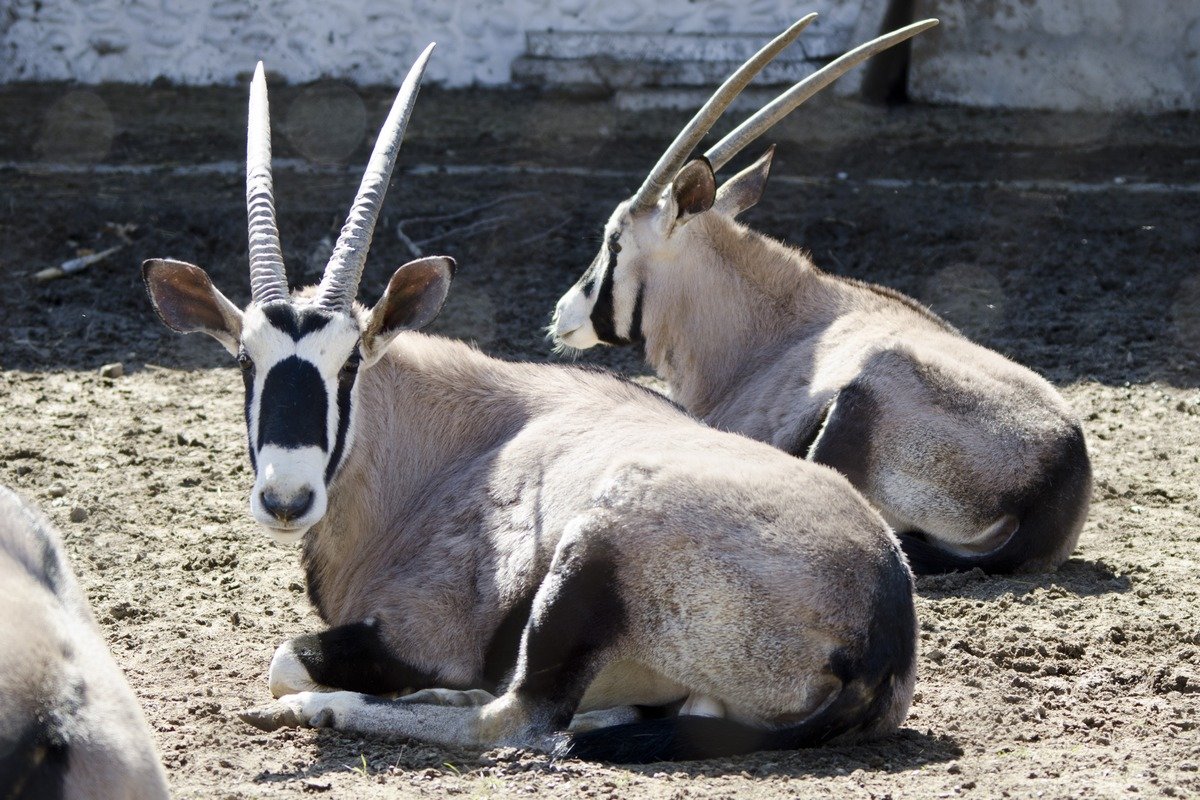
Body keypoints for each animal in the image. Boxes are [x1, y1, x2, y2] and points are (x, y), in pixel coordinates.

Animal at [145, 47, 921, 767]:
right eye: (247, 362)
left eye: (352, 362)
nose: (287, 499)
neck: (451, 448)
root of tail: (881, 612)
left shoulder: (419, 633)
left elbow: (284, 660)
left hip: (589, 553)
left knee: (516, 721)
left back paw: (327, 708)